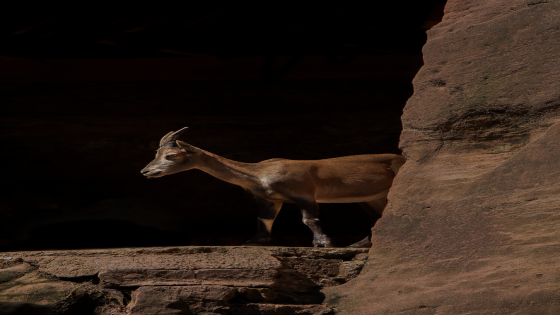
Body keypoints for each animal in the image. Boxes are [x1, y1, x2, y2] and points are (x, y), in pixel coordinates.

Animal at [139, 127, 402, 248]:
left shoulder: (304, 192)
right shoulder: (269, 199)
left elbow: (310, 219)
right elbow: (263, 220)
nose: (146, 172)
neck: (259, 173)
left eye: (171, 155)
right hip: (371, 197)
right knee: (380, 216)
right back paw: (359, 244)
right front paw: (253, 241)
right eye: (156, 153)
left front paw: (323, 243)